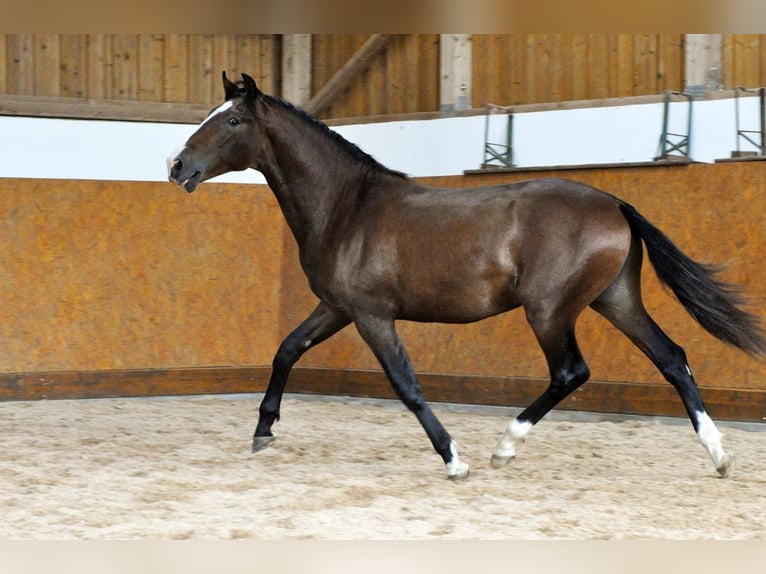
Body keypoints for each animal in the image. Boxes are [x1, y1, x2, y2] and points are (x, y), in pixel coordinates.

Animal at [170, 72, 766, 482]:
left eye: (232, 121)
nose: (178, 167)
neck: (347, 207)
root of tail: (613, 203)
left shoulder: (370, 315)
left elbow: (406, 384)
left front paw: (453, 459)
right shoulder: (336, 308)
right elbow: (287, 350)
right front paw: (262, 431)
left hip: (549, 310)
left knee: (571, 372)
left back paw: (504, 446)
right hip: (615, 300)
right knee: (672, 358)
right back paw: (719, 456)